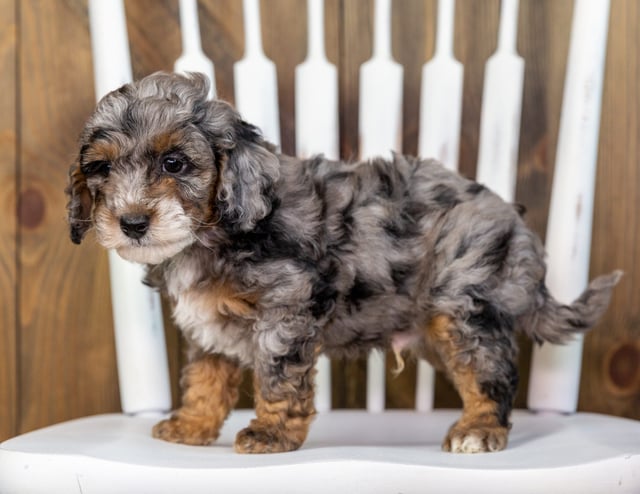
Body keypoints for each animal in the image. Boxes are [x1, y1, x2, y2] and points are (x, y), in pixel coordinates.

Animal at [66, 71, 620, 454]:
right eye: (101, 168)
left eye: (174, 163)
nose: (132, 223)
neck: (215, 231)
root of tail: (515, 222)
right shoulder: (208, 326)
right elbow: (205, 377)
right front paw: (193, 425)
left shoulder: (287, 309)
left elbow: (278, 377)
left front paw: (270, 433)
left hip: (464, 304)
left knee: (490, 373)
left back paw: (479, 429)